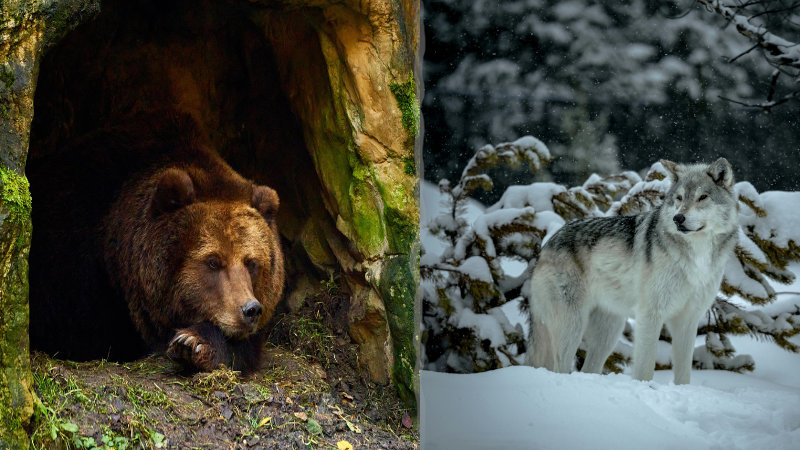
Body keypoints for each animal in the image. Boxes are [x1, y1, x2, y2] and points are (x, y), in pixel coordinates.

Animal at [526, 158, 738, 384]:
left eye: (702, 197)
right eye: (679, 198)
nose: (678, 218)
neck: (697, 255)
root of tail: (546, 245)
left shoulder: (688, 320)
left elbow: (683, 375)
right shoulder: (650, 314)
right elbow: (645, 368)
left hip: (608, 332)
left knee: (588, 369)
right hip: (572, 326)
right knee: (561, 369)